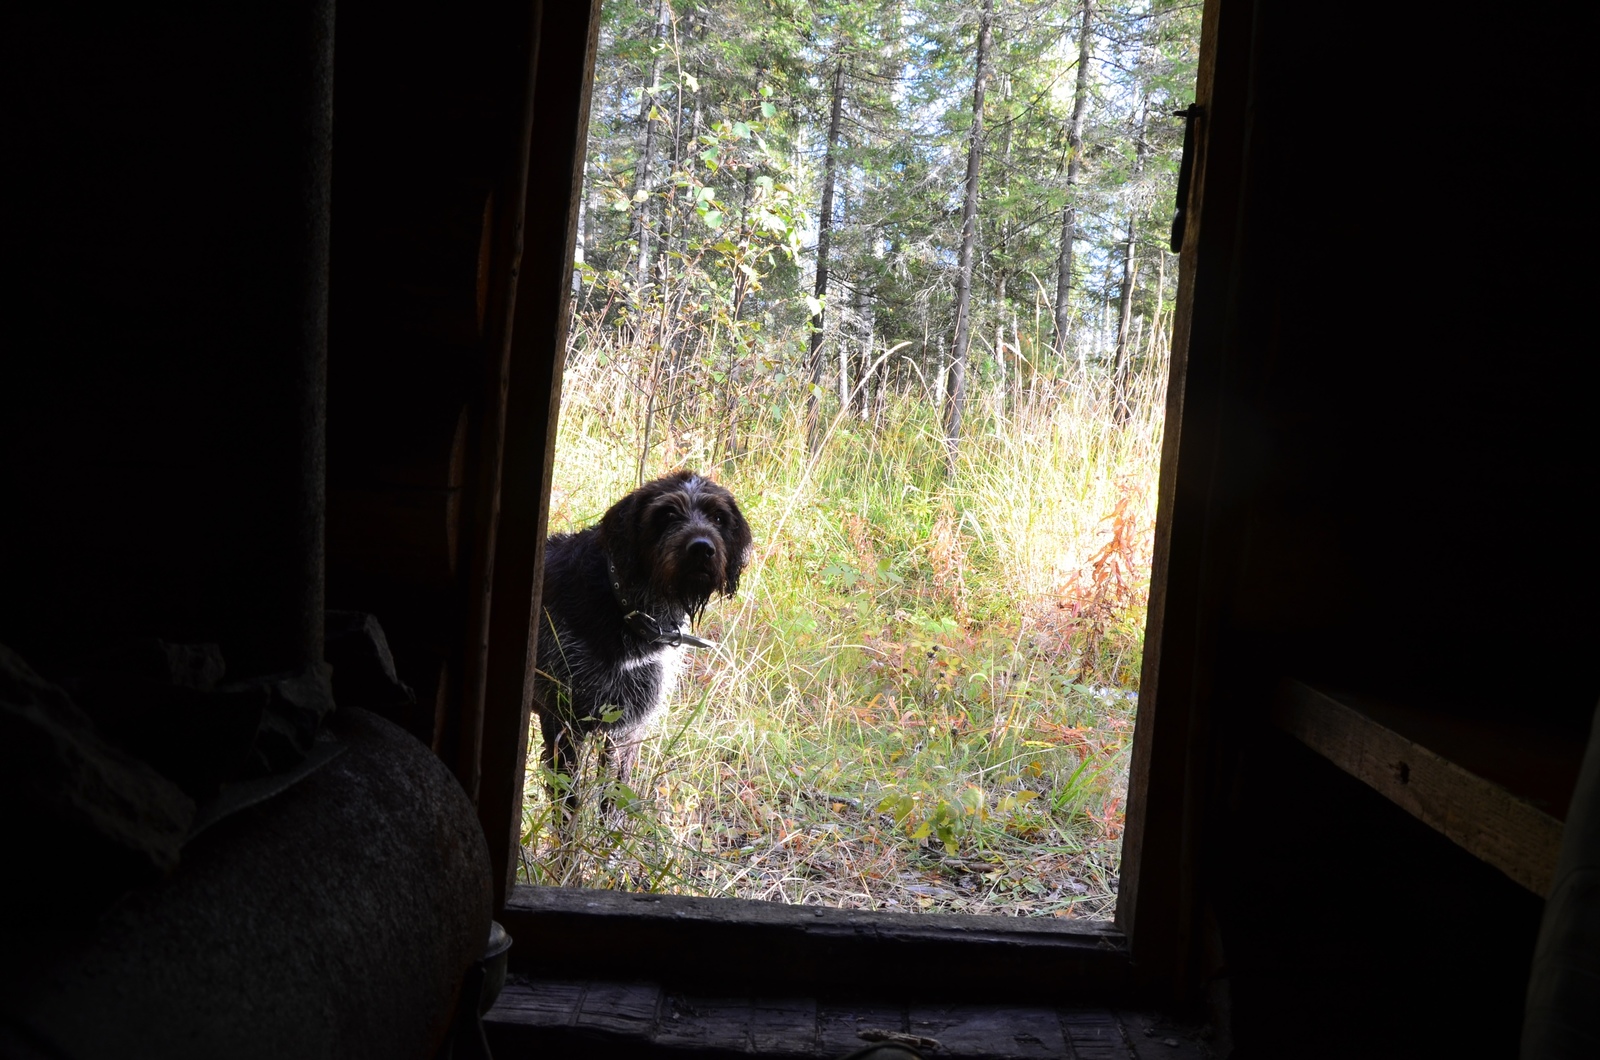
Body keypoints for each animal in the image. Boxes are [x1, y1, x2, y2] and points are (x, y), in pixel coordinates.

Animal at [528, 470, 745, 826]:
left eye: (718, 517)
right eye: (667, 514)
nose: (702, 549)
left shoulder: (625, 731)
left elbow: (611, 805)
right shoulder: (562, 725)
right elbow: (568, 812)